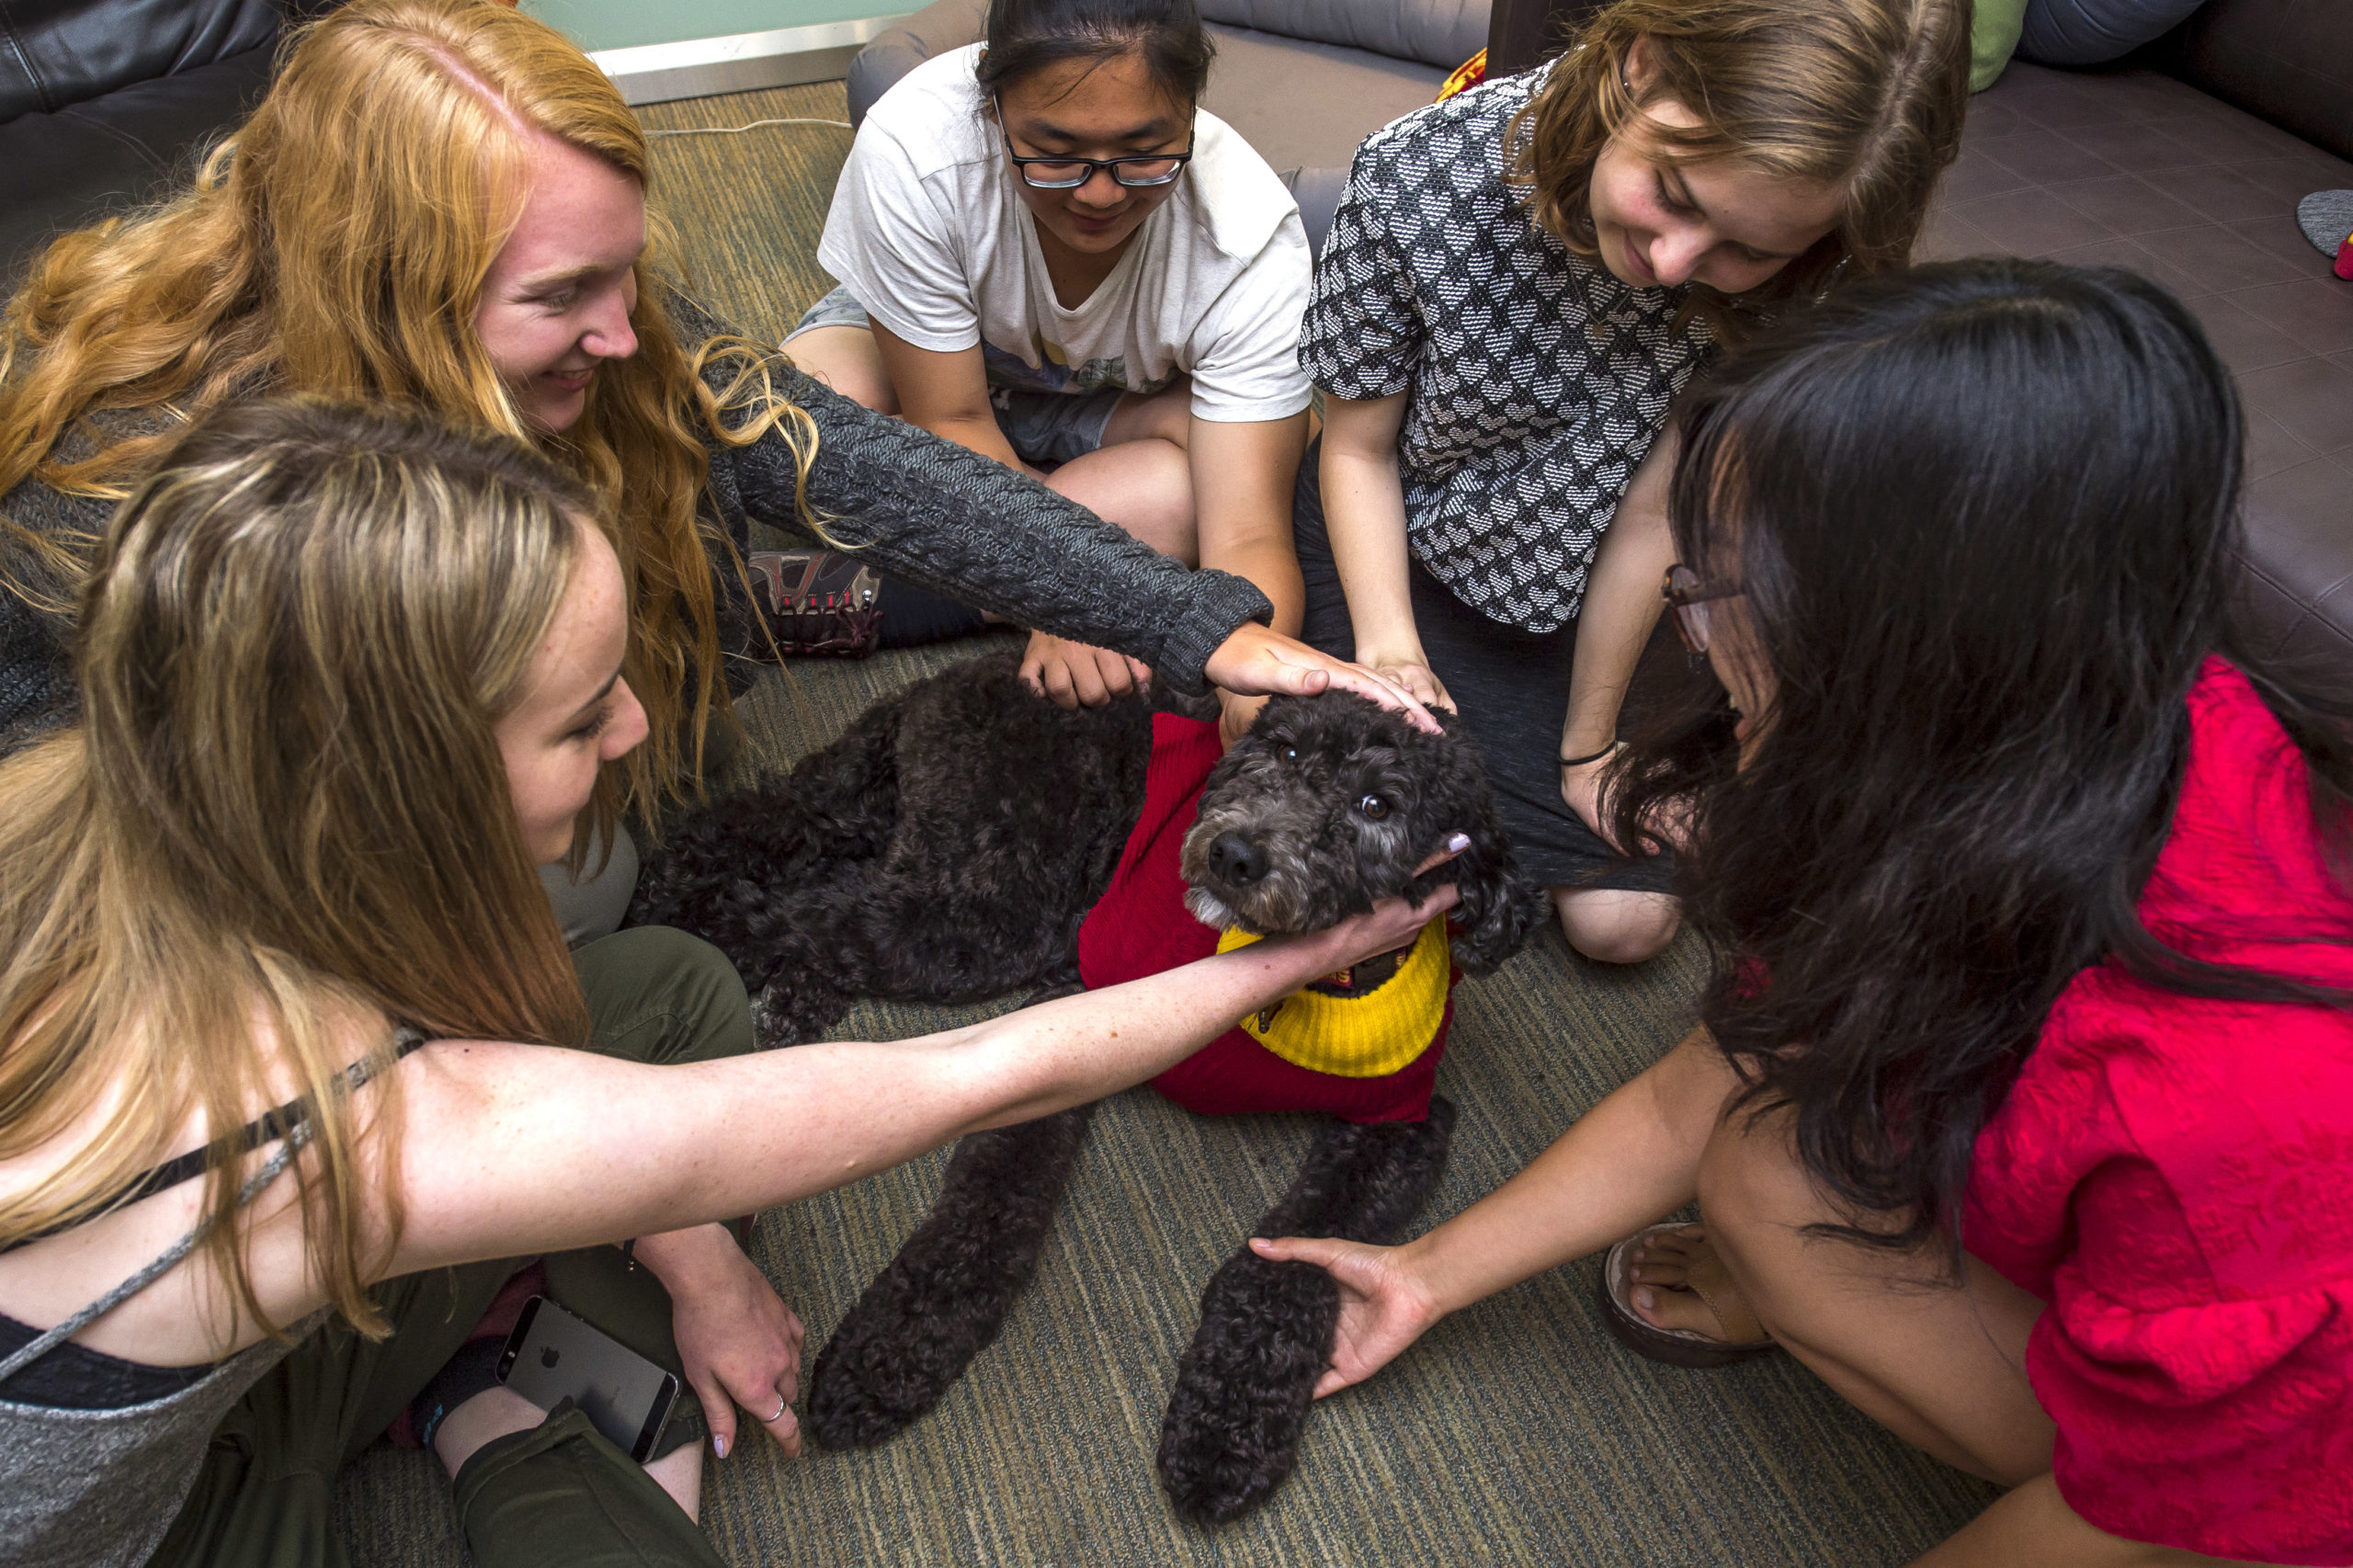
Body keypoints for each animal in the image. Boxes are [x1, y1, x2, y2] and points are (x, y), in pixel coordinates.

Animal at [625, 644, 1543, 1516]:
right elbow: (986, 1208)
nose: (1235, 852)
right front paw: (891, 1352)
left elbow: (1289, 1266)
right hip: (983, 906)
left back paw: (778, 992)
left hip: (909, 844)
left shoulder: (1403, 1124)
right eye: (1282, 748)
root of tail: (988, 667)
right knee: (784, 902)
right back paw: (665, 919)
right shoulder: (1077, 1001)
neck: (1299, 987)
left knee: (778, 850)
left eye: (1378, 805)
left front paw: (1230, 1427)